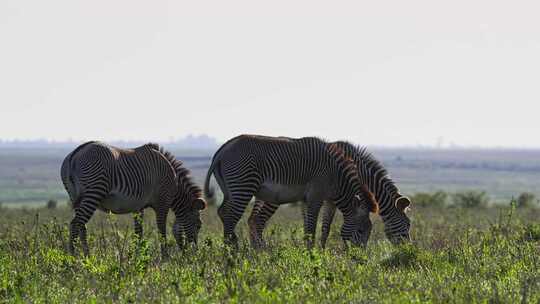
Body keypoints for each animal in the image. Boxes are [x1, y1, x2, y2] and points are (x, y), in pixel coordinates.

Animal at [61, 141, 207, 258]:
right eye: (199, 225)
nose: (195, 253)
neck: (175, 186)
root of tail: (76, 152)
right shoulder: (162, 203)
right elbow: (161, 231)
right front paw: (165, 258)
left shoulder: (139, 207)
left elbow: (139, 233)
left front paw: (137, 256)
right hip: (94, 191)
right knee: (75, 224)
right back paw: (73, 258)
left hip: (75, 196)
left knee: (82, 226)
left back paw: (87, 257)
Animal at [204, 136, 380, 249]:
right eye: (361, 231)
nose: (359, 260)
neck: (336, 176)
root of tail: (224, 148)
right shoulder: (315, 196)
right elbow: (311, 229)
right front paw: (311, 255)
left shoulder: (306, 199)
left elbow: (309, 227)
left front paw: (309, 253)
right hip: (243, 187)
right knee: (230, 216)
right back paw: (231, 252)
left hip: (231, 190)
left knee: (223, 212)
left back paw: (232, 248)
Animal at [247, 141, 412, 248]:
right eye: (408, 225)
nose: (408, 250)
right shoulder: (333, 198)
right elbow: (327, 227)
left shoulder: (332, 199)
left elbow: (324, 228)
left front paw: (319, 251)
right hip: (274, 198)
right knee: (258, 220)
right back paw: (262, 251)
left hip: (261, 195)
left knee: (251, 219)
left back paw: (253, 251)